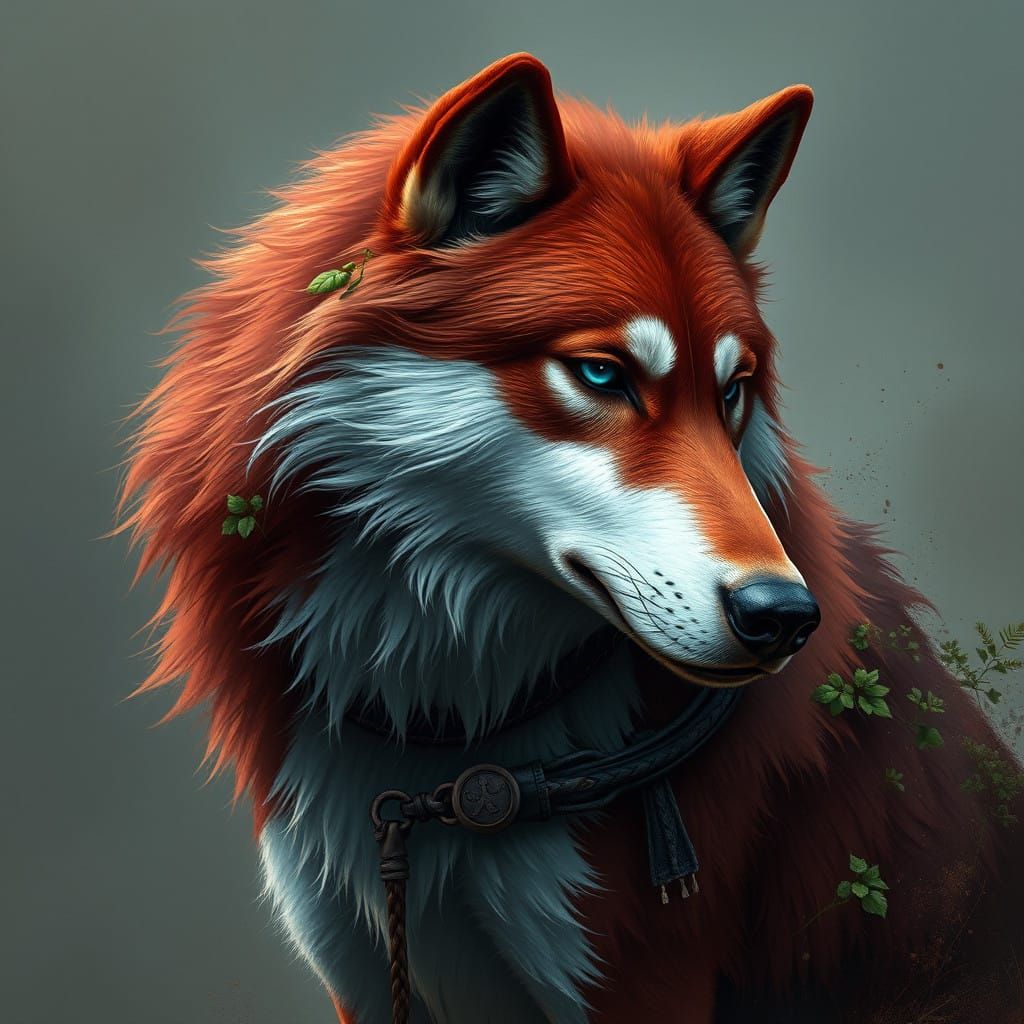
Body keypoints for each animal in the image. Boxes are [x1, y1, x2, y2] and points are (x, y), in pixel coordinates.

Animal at [121, 53, 1024, 1023]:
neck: (451, 746)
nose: (783, 616)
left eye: (732, 391)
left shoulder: (637, 982)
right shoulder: (366, 971)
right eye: (602, 374)